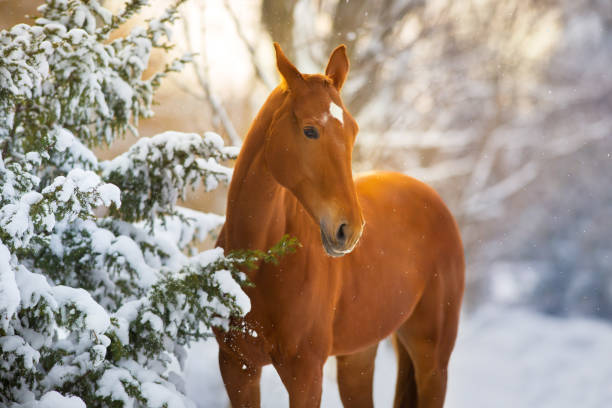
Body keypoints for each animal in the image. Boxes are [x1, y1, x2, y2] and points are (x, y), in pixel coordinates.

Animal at [214, 43, 464, 406]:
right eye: (309, 130)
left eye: (353, 131)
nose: (350, 230)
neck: (258, 264)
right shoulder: (236, 367)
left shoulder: (306, 375)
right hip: (358, 357)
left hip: (433, 360)